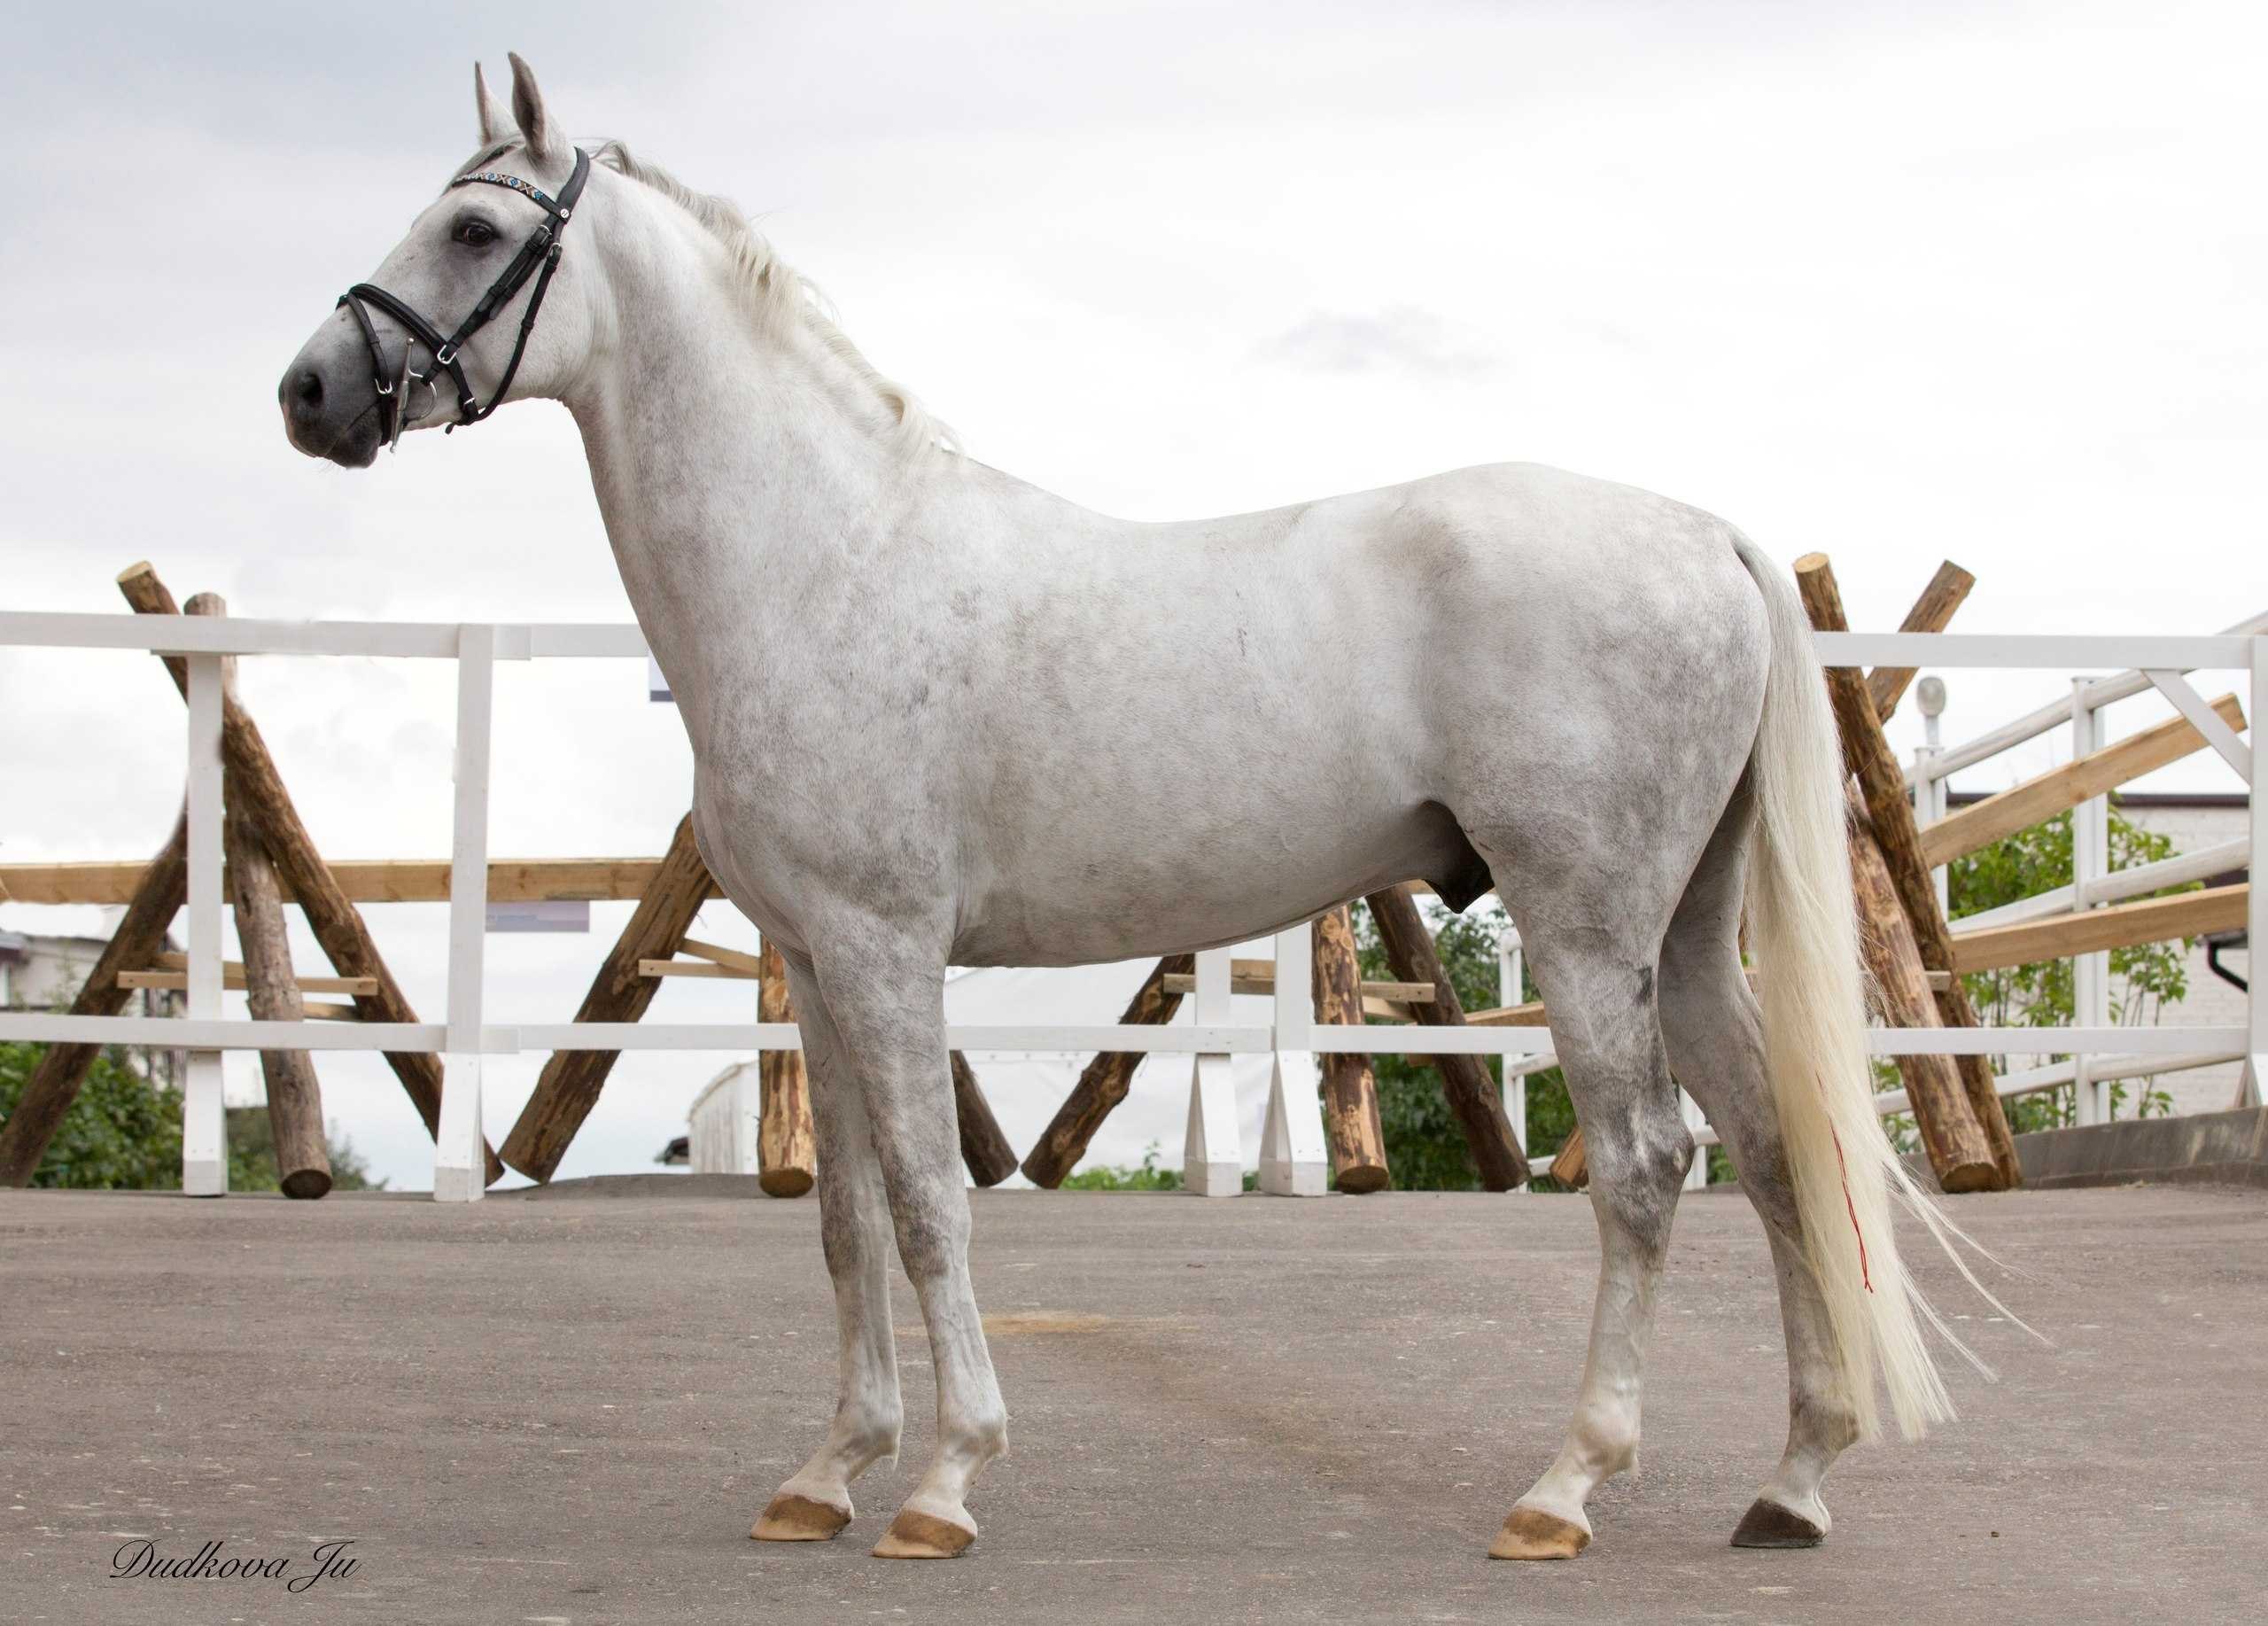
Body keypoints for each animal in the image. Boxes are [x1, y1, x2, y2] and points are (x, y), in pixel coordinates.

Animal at [288, 60, 1986, 1560]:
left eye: (476, 232)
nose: (310, 392)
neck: (830, 558)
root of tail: (1703, 534)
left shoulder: (890, 955)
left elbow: (929, 1208)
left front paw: (944, 1482)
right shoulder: (821, 970)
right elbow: (844, 1221)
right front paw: (829, 1473)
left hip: (1584, 927)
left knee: (1644, 1167)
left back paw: (1564, 1489)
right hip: (1682, 938)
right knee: (1777, 1154)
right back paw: (1792, 1481)